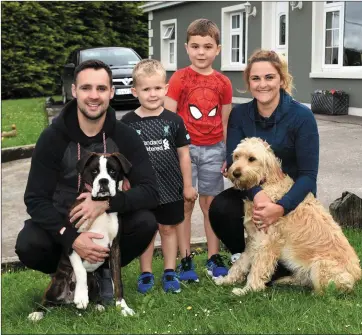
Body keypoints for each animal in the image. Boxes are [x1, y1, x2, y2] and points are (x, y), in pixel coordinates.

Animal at [28, 151, 135, 322]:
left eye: (113, 171)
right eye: (94, 171)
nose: (103, 181)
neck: (98, 204)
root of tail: (66, 301)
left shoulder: (115, 248)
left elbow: (118, 281)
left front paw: (123, 307)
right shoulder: (73, 242)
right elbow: (80, 270)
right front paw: (81, 297)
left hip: (94, 281)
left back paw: (98, 305)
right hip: (55, 285)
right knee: (46, 301)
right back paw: (37, 312)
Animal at [216, 138, 360, 296]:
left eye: (252, 158)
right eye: (236, 156)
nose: (235, 173)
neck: (266, 184)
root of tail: (358, 276)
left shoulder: (266, 243)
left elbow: (257, 269)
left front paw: (248, 290)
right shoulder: (254, 240)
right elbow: (241, 263)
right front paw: (227, 279)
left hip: (320, 265)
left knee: (329, 291)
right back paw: (286, 281)